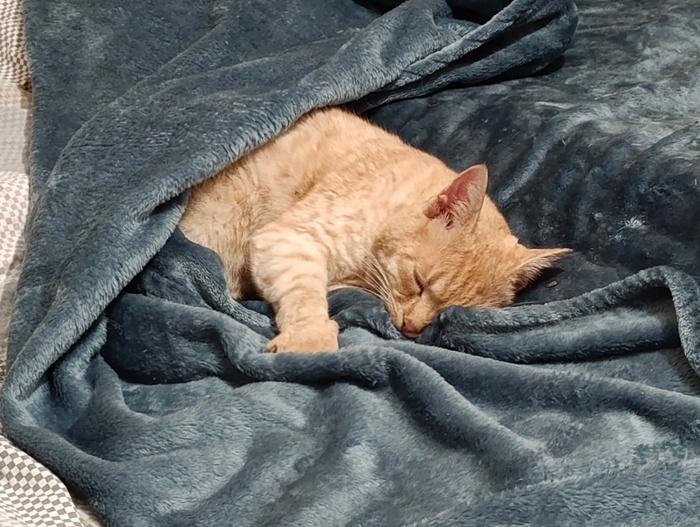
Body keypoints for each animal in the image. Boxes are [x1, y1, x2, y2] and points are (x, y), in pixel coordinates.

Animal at [179, 107, 570, 353]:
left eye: (449, 311)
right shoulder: (289, 237)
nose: (412, 328)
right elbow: (305, 293)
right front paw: (309, 337)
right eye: (419, 282)